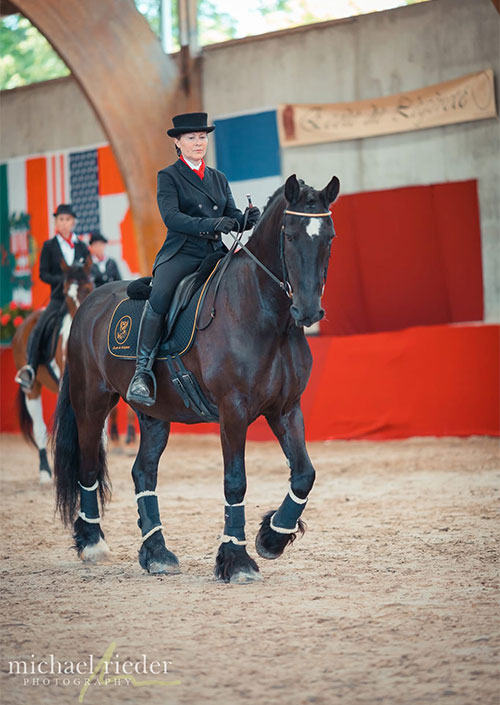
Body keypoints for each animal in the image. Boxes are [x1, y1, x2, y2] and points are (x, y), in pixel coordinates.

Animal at [53, 173, 340, 582]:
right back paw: (93, 543)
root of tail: (88, 305)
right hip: (91, 403)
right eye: (289, 234)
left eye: (328, 236)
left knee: (143, 472)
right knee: (88, 466)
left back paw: (156, 553)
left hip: (153, 415)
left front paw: (272, 537)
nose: (309, 311)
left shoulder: (285, 409)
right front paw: (236, 559)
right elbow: (235, 482)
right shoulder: (233, 410)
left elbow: (304, 474)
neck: (266, 315)